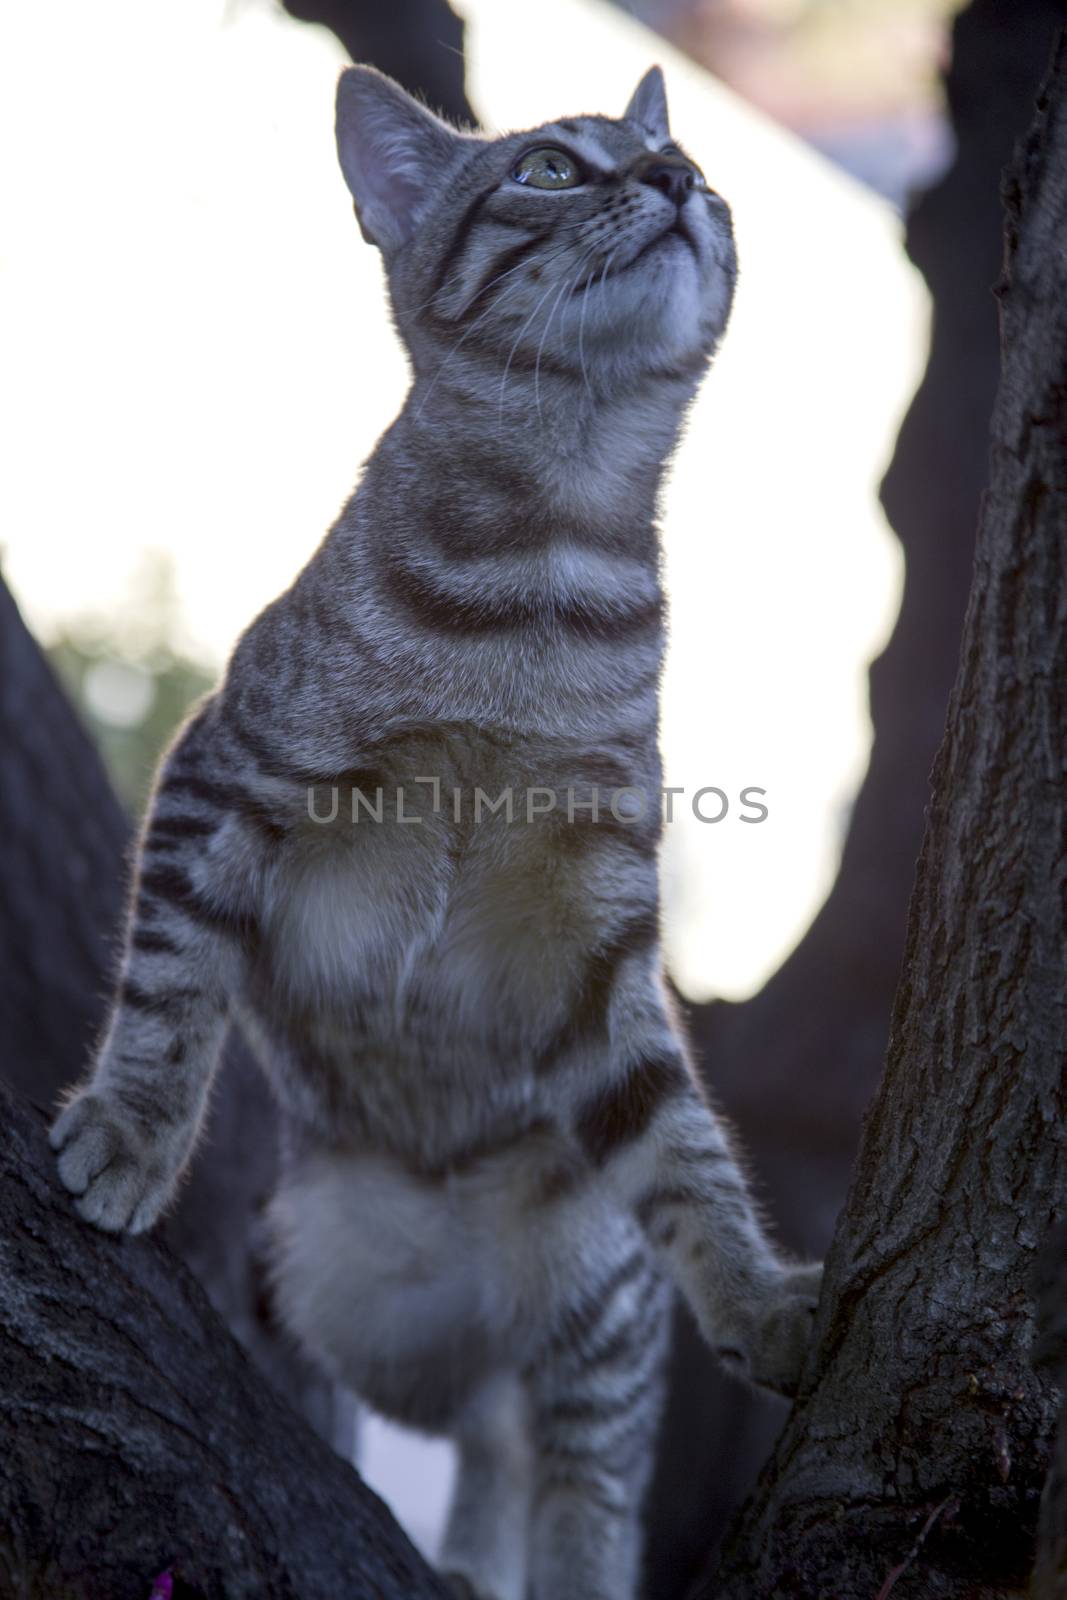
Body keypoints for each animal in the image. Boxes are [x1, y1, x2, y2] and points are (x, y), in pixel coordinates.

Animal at [51, 62, 825, 1600]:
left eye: (692, 165)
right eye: (550, 169)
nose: (675, 179)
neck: (542, 573)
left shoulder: (602, 937)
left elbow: (689, 1155)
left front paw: (761, 1294)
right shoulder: (225, 772)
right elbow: (169, 988)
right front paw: (133, 1125)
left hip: (590, 1295)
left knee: (569, 1469)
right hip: (315, 1282)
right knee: (462, 1427)